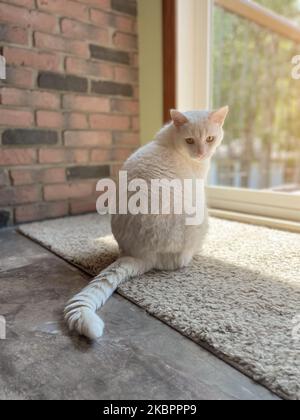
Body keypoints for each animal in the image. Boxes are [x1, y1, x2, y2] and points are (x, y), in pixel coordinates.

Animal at [63, 106, 227, 340]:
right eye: (189, 140)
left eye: (210, 138)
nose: (201, 152)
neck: (170, 141)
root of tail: (136, 254)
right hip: (201, 218)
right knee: (181, 261)